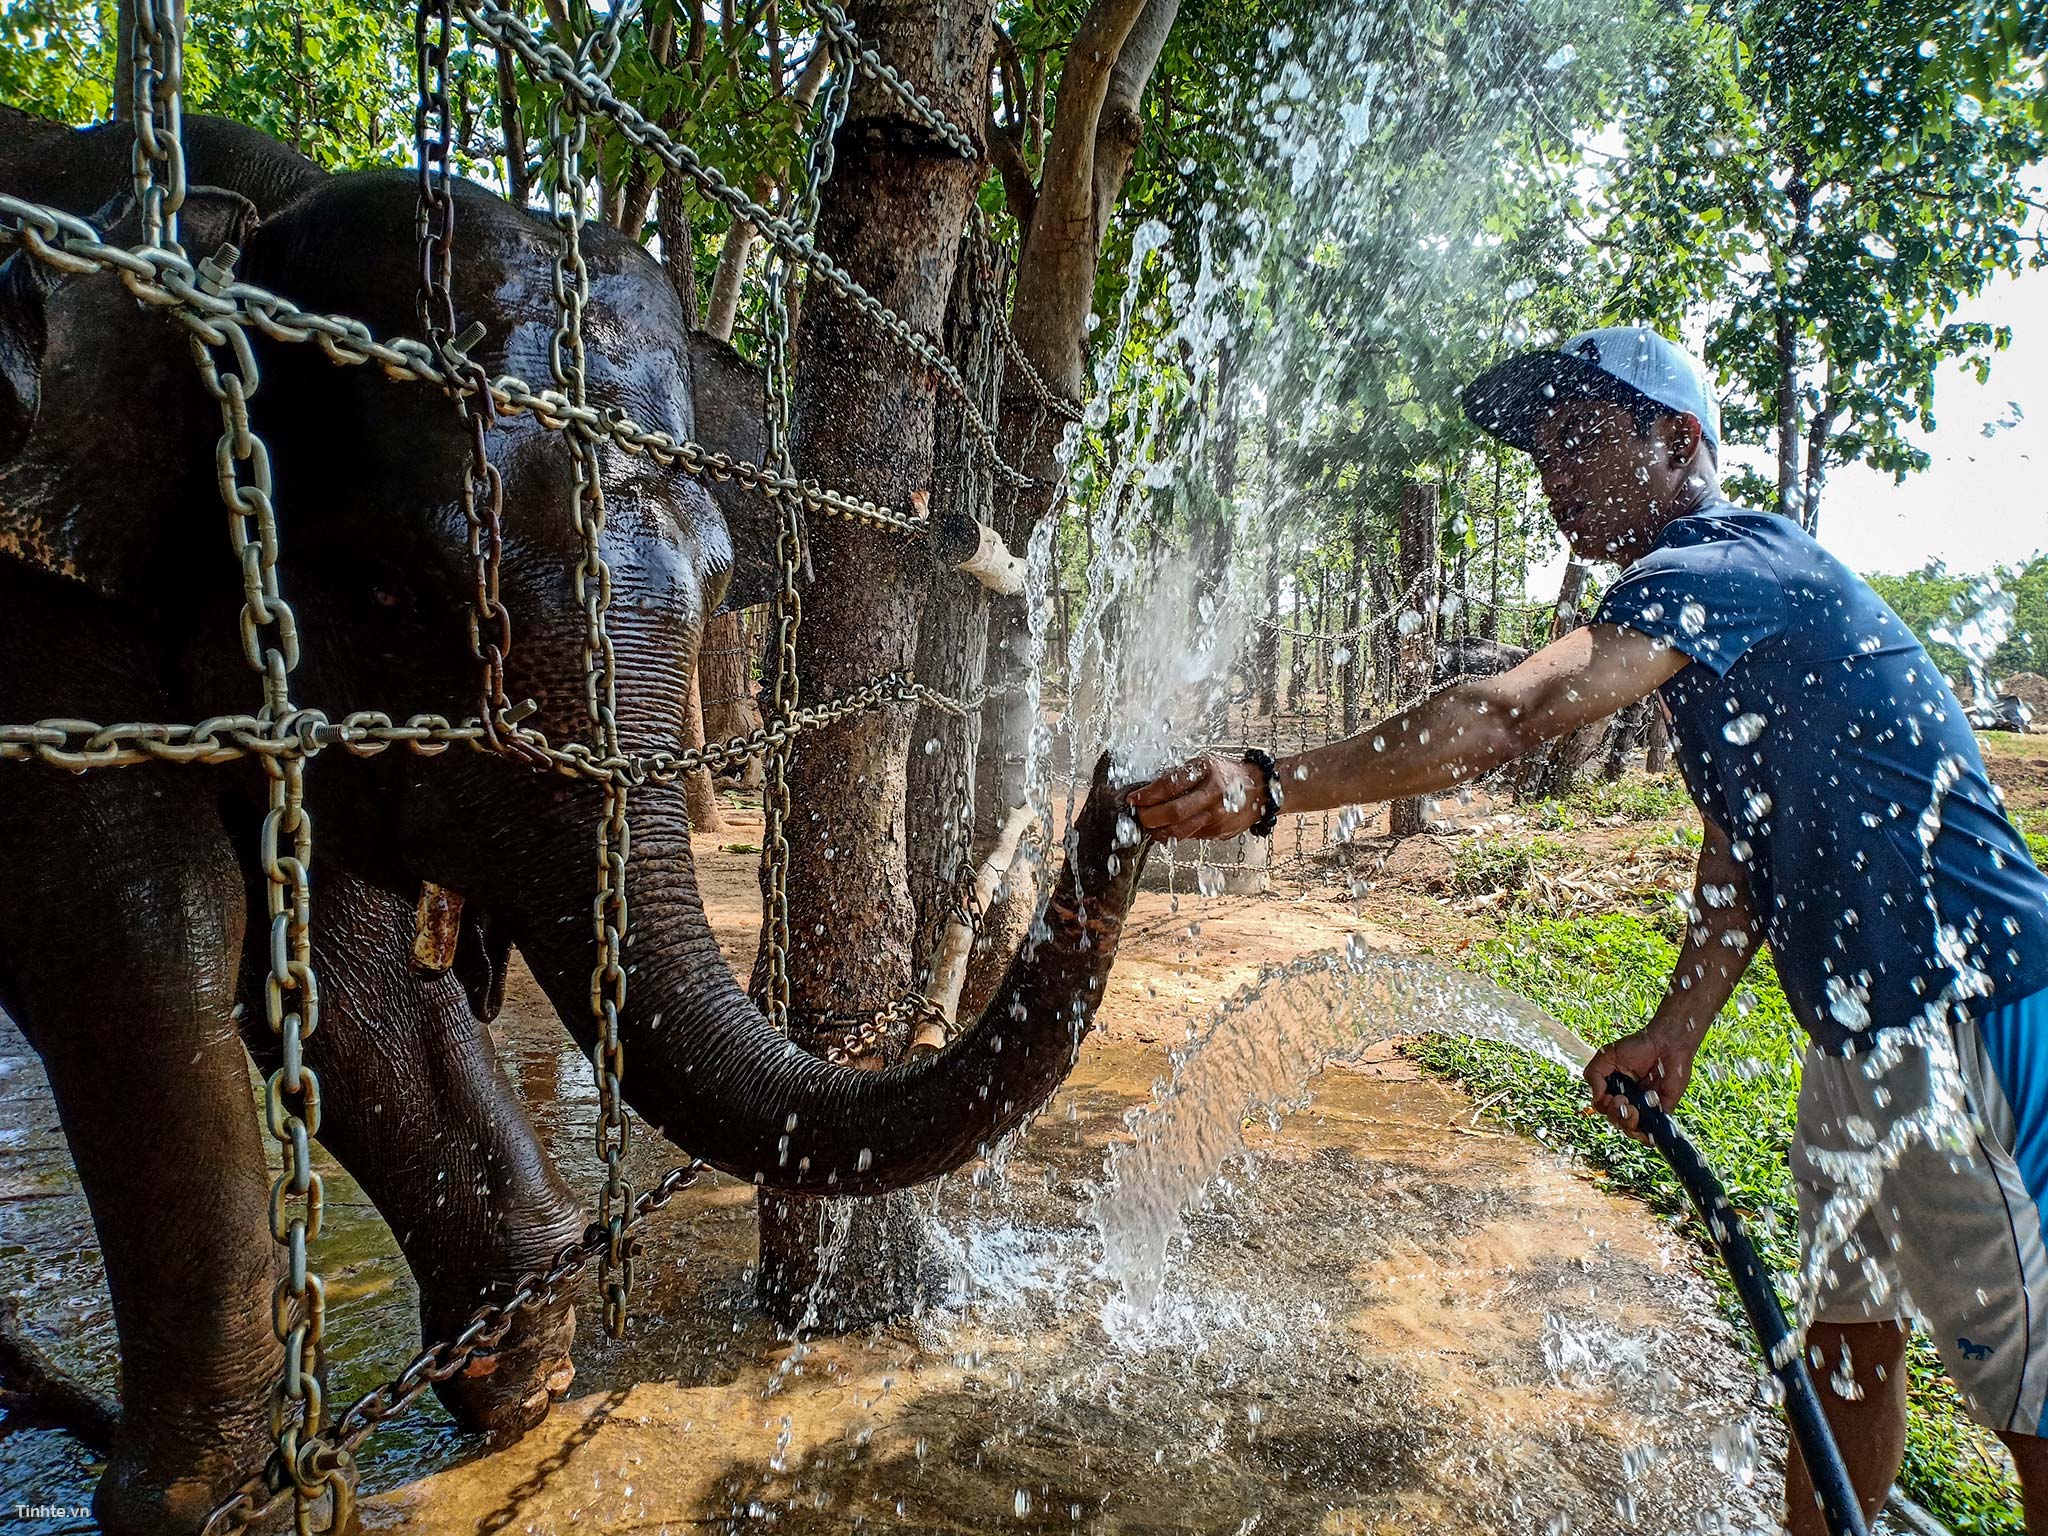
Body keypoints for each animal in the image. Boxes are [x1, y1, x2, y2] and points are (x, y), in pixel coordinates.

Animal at [0, 114, 1146, 1531]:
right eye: (395, 592)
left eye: (723, 580)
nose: (1114, 797)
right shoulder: (40, 603)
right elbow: (135, 943)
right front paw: (204, 1501)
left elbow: (335, 961)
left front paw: (516, 1375)